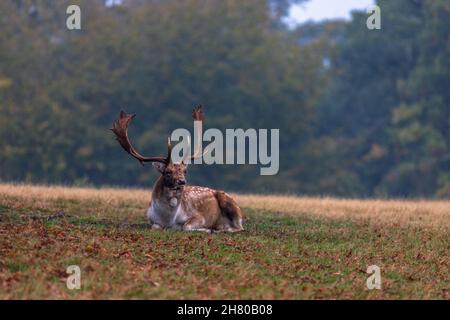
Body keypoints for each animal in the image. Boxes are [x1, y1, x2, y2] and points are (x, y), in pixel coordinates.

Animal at [112, 106, 244, 234]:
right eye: (168, 172)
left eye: (185, 171)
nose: (182, 181)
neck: (168, 219)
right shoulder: (151, 220)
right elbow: (155, 227)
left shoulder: (199, 216)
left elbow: (185, 226)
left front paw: (208, 229)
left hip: (231, 203)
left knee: (239, 227)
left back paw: (221, 229)